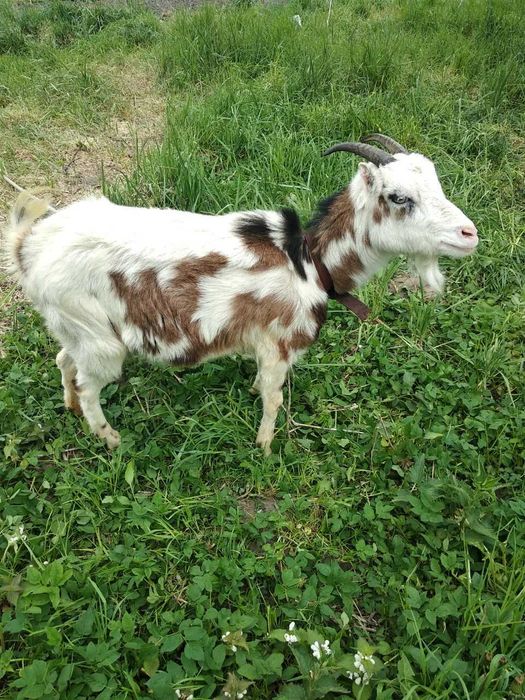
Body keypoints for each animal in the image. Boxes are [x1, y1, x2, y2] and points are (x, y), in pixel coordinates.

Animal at [5, 134, 478, 454]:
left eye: (436, 183)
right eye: (398, 197)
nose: (469, 234)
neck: (309, 261)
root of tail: (30, 246)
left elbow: (262, 387)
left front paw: (251, 399)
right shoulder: (279, 342)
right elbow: (274, 397)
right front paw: (265, 447)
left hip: (79, 328)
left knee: (64, 360)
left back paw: (69, 407)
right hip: (99, 340)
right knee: (89, 386)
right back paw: (111, 439)